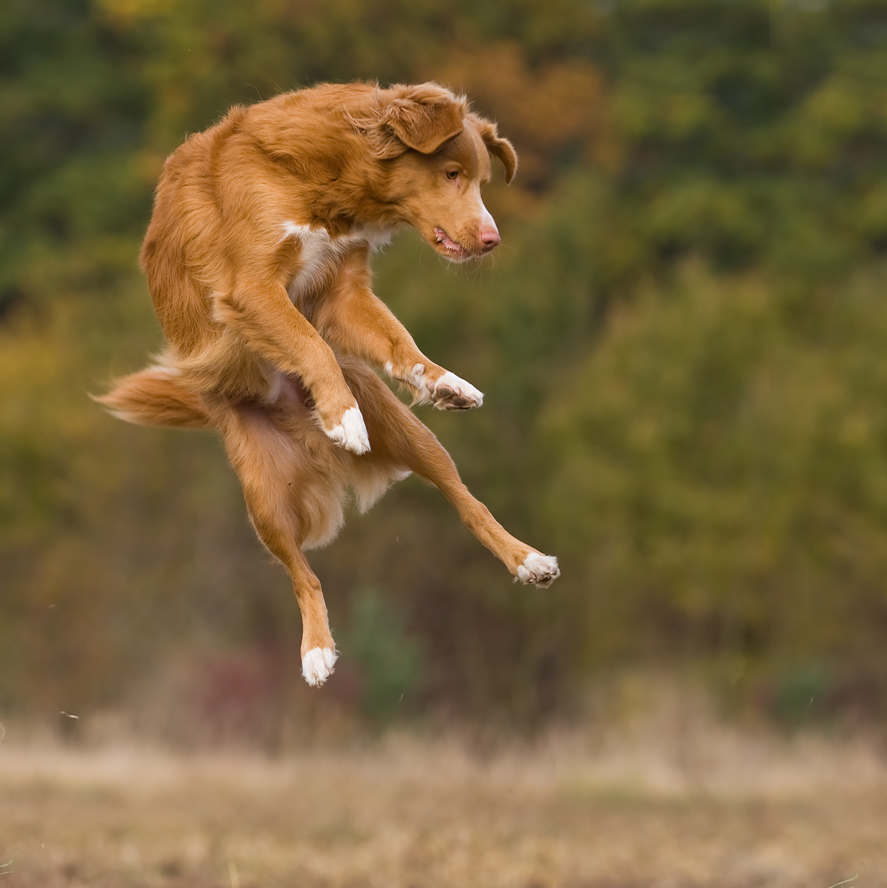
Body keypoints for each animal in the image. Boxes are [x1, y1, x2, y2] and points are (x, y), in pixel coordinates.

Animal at [99, 81, 560, 688]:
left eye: (482, 180)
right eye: (451, 174)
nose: (491, 239)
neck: (329, 178)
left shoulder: (342, 291)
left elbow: (396, 339)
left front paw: (441, 380)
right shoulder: (251, 287)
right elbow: (311, 344)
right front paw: (341, 416)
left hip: (410, 434)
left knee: (465, 500)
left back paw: (527, 559)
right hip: (263, 496)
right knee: (302, 574)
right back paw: (316, 651)